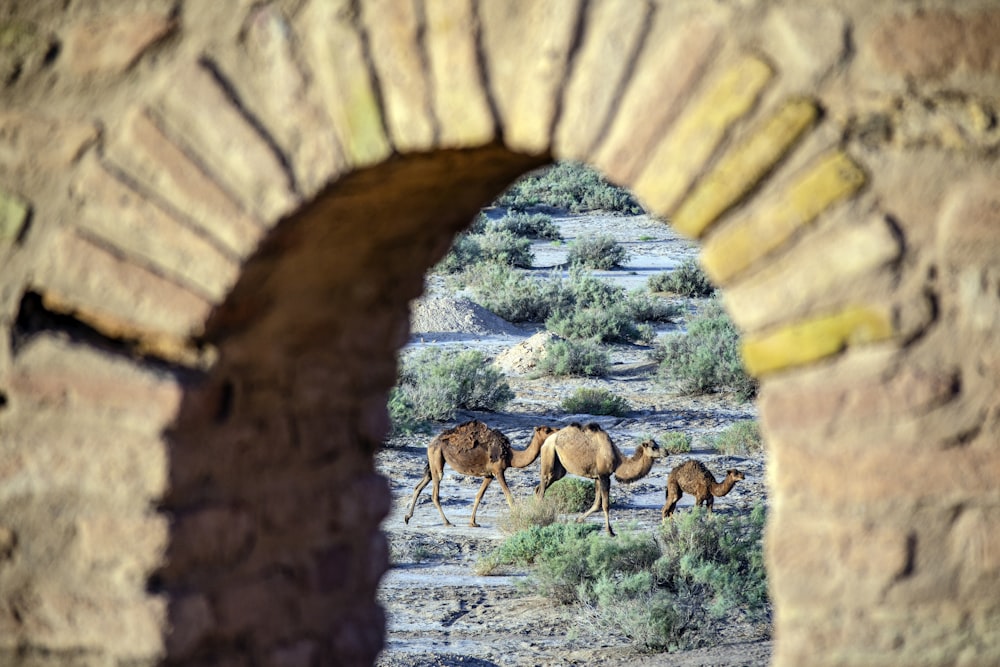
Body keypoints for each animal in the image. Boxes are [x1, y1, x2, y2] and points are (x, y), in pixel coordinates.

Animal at [402, 422, 560, 528]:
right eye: (547, 430)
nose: (558, 430)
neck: (511, 455)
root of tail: (431, 442)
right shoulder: (498, 471)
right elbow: (509, 496)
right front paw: (519, 517)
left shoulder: (489, 475)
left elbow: (479, 496)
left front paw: (473, 522)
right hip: (437, 457)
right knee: (435, 491)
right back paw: (447, 522)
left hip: (434, 460)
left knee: (420, 484)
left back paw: (407, 517)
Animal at [532, 422, 664, 536]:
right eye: (653, 447)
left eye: (657, 445)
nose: (666, 452)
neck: (618, 461)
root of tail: (547, 441)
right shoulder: (604, 476)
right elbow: (605, 505)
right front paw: (610, 532)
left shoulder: (597, 477)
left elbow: (596, 504)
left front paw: (578, 519)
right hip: (549, 455)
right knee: (542, 487)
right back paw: (539, 515)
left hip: (559, 468)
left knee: (539, 488)